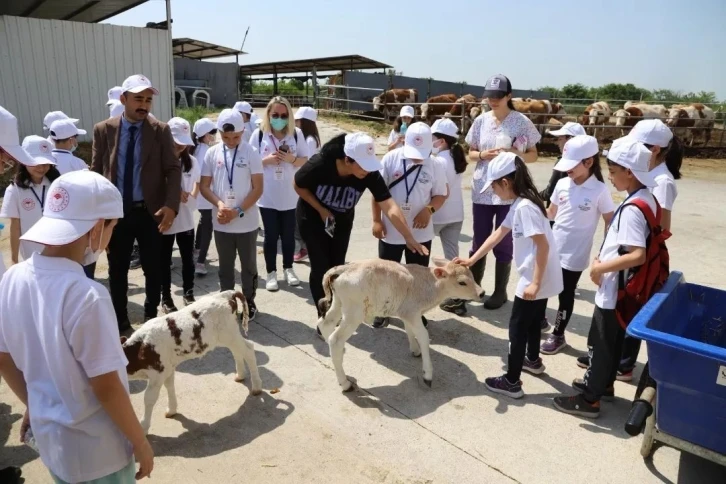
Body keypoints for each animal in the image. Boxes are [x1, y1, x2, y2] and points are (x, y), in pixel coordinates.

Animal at [121, 290, 264, 432]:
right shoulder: (168, 368)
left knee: (249, 350)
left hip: (229, 334)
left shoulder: (158, 373)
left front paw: (143, 427)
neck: (140, 349)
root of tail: (226, 294)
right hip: (228, 337)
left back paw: (256, 387)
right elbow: (170, 386)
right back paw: (240, 375)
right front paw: (172, 410)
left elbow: (149, 398)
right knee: (237, 351)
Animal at [318, 260, 484, 392]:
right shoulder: (413, 312)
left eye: (472, 275)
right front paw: (427, 374)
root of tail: (343, 268)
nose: (482, 293)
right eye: (462, 282)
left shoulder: (406, 313)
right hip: (354, 313)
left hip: (339, 303)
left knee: (325, 324)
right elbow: (424, 337)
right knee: (335, 339)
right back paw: (345, 383)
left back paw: (339, 356)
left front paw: (415, 350)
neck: (429, 285)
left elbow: (409, 330)